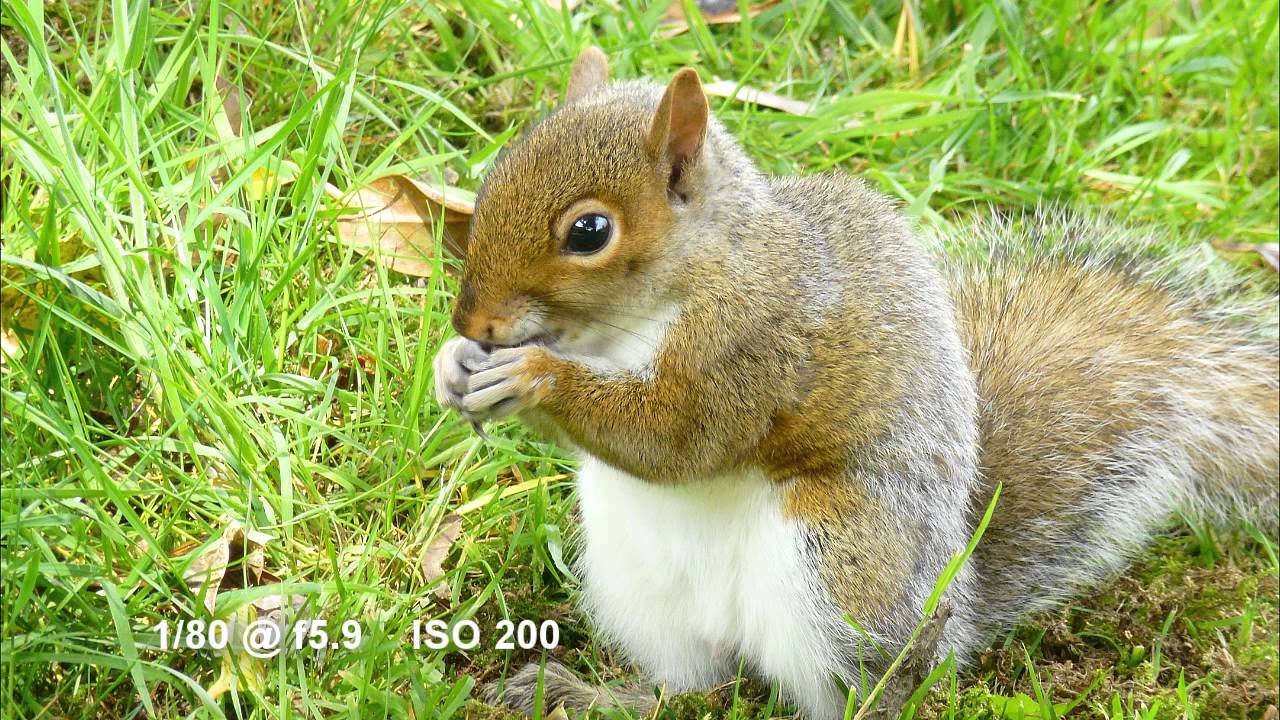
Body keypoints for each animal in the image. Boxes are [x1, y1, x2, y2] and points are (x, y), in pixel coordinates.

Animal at [432, 48, 1280, 718]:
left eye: (589, 231)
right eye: (494, 175)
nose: (472, 320)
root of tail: (951, 615)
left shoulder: (755, 338)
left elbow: (679, 438)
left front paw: (535, 376)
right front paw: (453, 366)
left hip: (840, 563)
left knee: (862, 689)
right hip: (640, 587)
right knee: (692, 686)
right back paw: (589, 694)